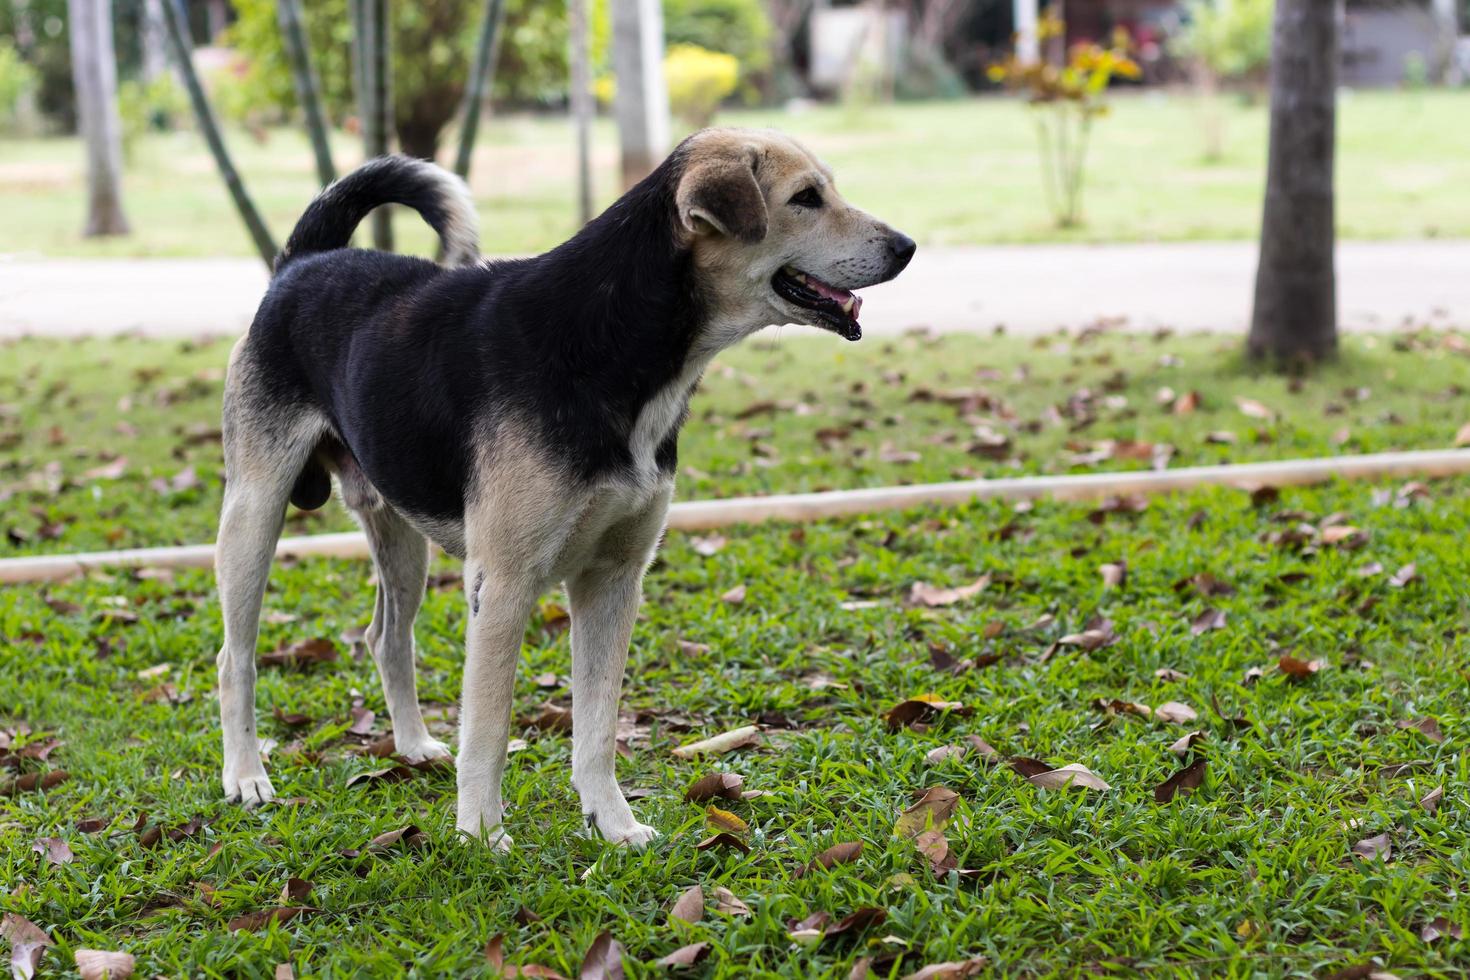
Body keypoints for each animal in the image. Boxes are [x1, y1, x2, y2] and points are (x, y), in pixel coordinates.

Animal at [214, 128, 911, 852]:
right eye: (806, 198)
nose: (907, 247)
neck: (613, 337)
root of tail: (303, 263)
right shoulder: (503, 584)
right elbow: (489, 731)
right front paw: (481, 836)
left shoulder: (615, 579)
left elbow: (597, 727)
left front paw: (613, 823)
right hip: (254, 514)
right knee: (235, 658)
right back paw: (246, 775)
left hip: (401, 535)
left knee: (386, 637)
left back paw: (410, 745)